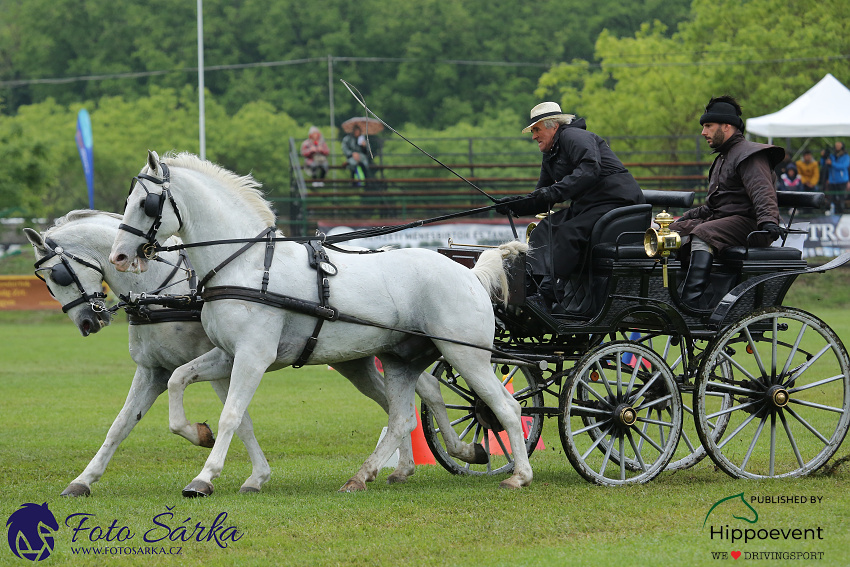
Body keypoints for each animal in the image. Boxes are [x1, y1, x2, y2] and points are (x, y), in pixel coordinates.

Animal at [107, 153, 528, 494]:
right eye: (127, 202)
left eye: (146, 203)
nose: (119, 256)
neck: (245, 265)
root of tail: (468, 272)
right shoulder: (228, 354)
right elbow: (179, 380)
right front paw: (197, 433)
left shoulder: (253, 356)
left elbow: (231, 415)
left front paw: (204, 477)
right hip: (400, 360)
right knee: (403, 417)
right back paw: (377, 473)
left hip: (465, 354)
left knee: (505, 407)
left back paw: (518, 475)